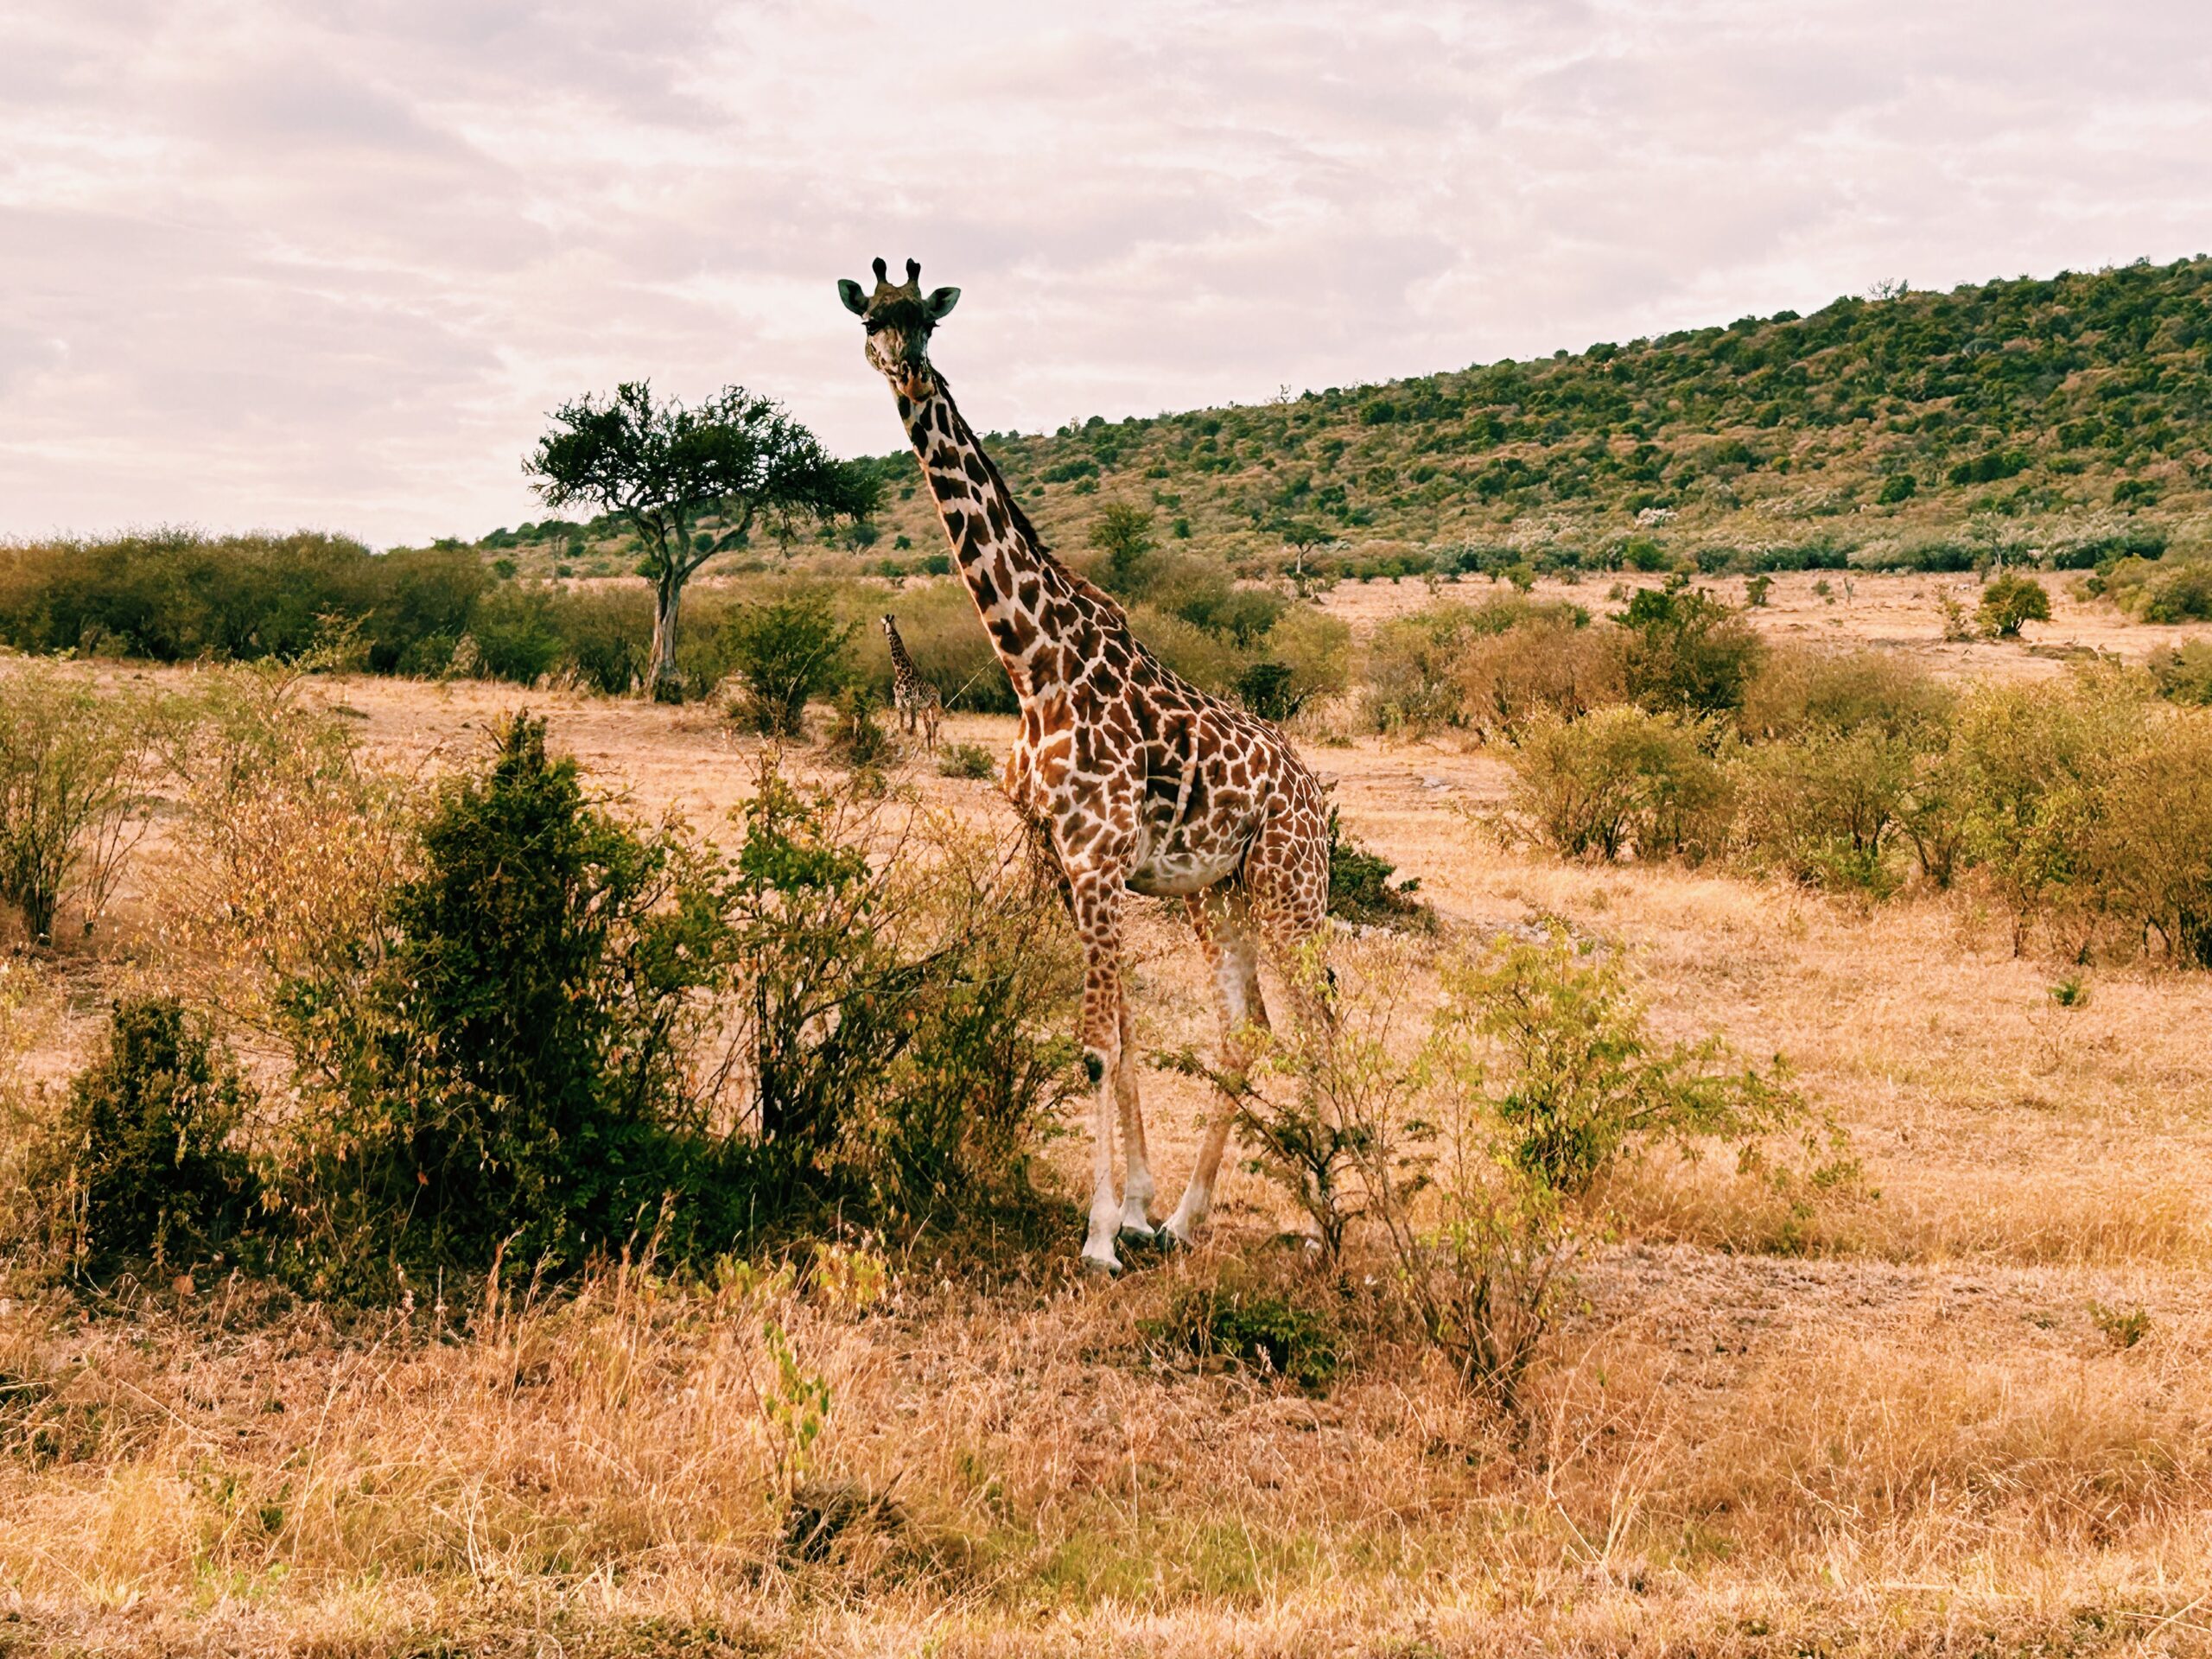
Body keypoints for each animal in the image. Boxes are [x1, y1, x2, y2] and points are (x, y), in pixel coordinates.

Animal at [880, 619, 942, 752]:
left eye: (883, 626)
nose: (883, 633)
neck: (901, 673)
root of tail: (938, 692)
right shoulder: (900, 703)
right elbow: (903, 727)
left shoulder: (912, 703)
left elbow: (912, 729)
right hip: (925, 709)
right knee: (929, 728)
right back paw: (930, 750)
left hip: (934, 708)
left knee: (933, 727)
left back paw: (933, 750)